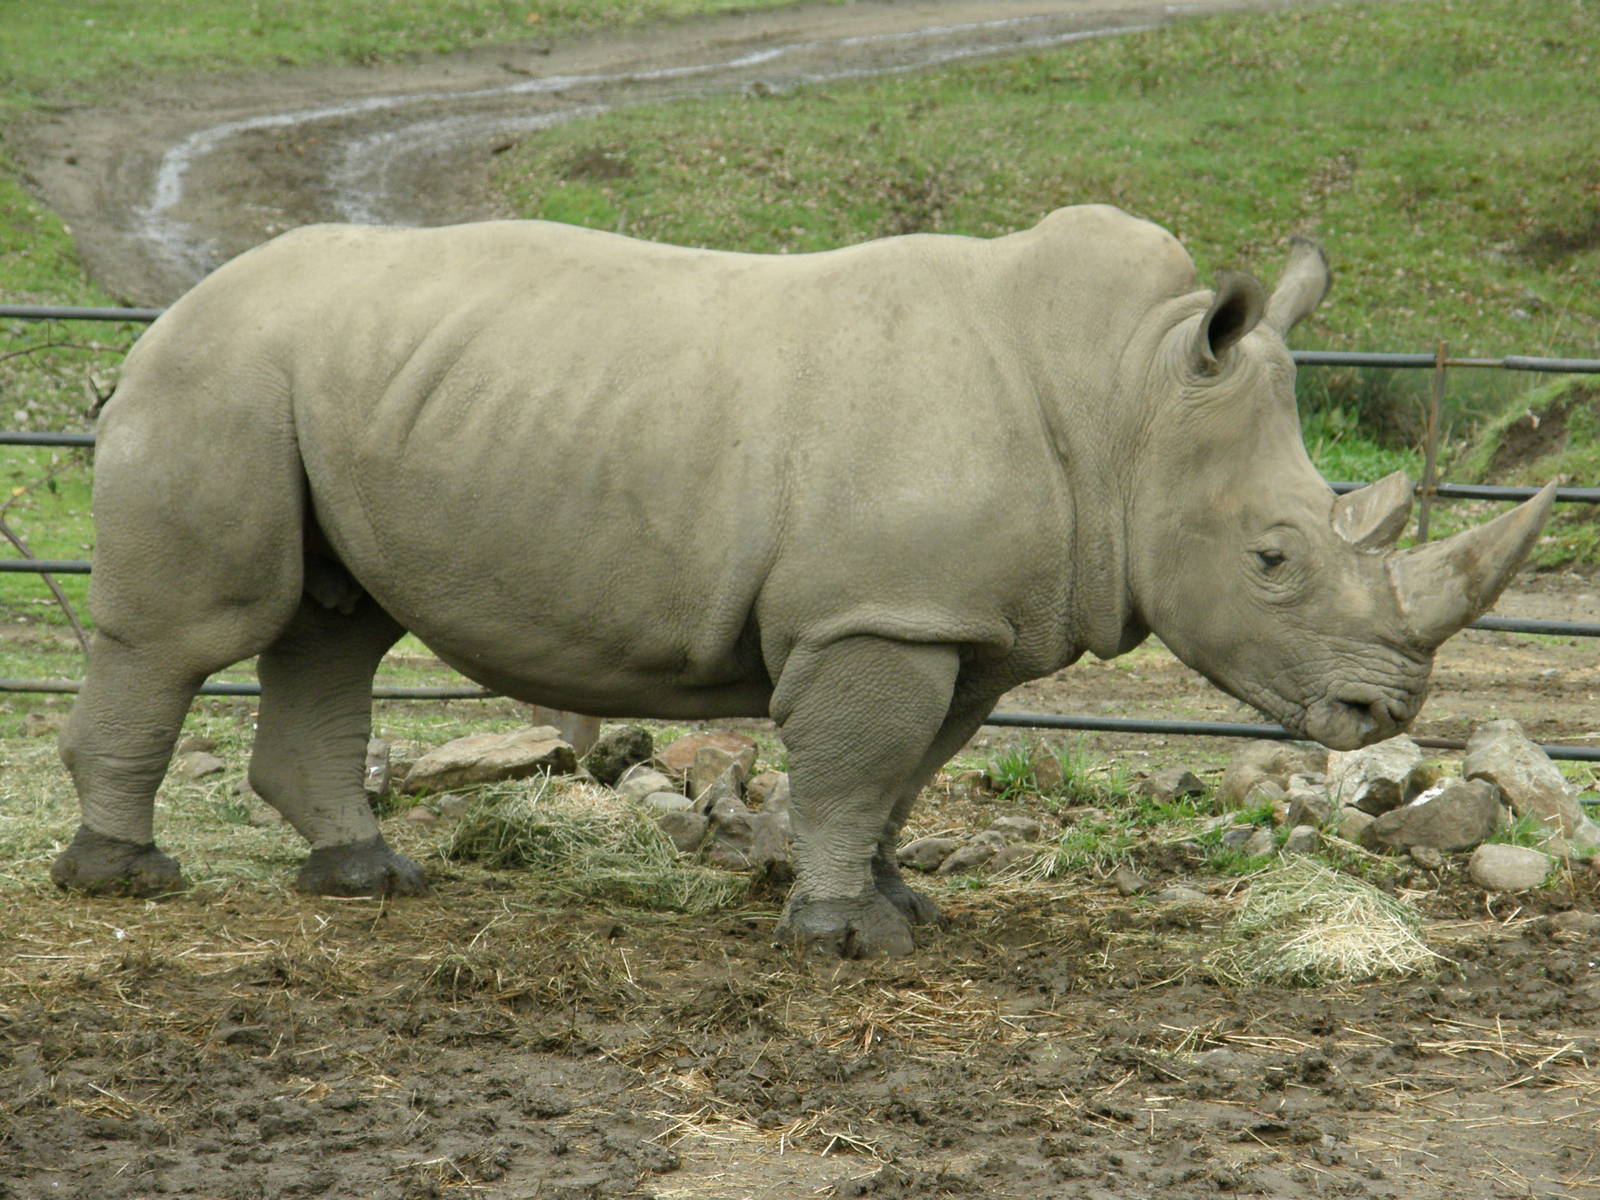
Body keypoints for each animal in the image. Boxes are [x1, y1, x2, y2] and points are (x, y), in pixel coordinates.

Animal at [52, 204, 1552, 955]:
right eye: (1273, 560)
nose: (1385, 715)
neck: (1128, 396)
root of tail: (164, 315)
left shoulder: (955, 622)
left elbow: (908, 772)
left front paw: (899, 910)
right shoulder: (876, 612)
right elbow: (855, 765)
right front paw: (837, 939)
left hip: (324, 386)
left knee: (333, 629)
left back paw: (369, 882)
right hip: (221, 374)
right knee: (192, 631)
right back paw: (125, 883)